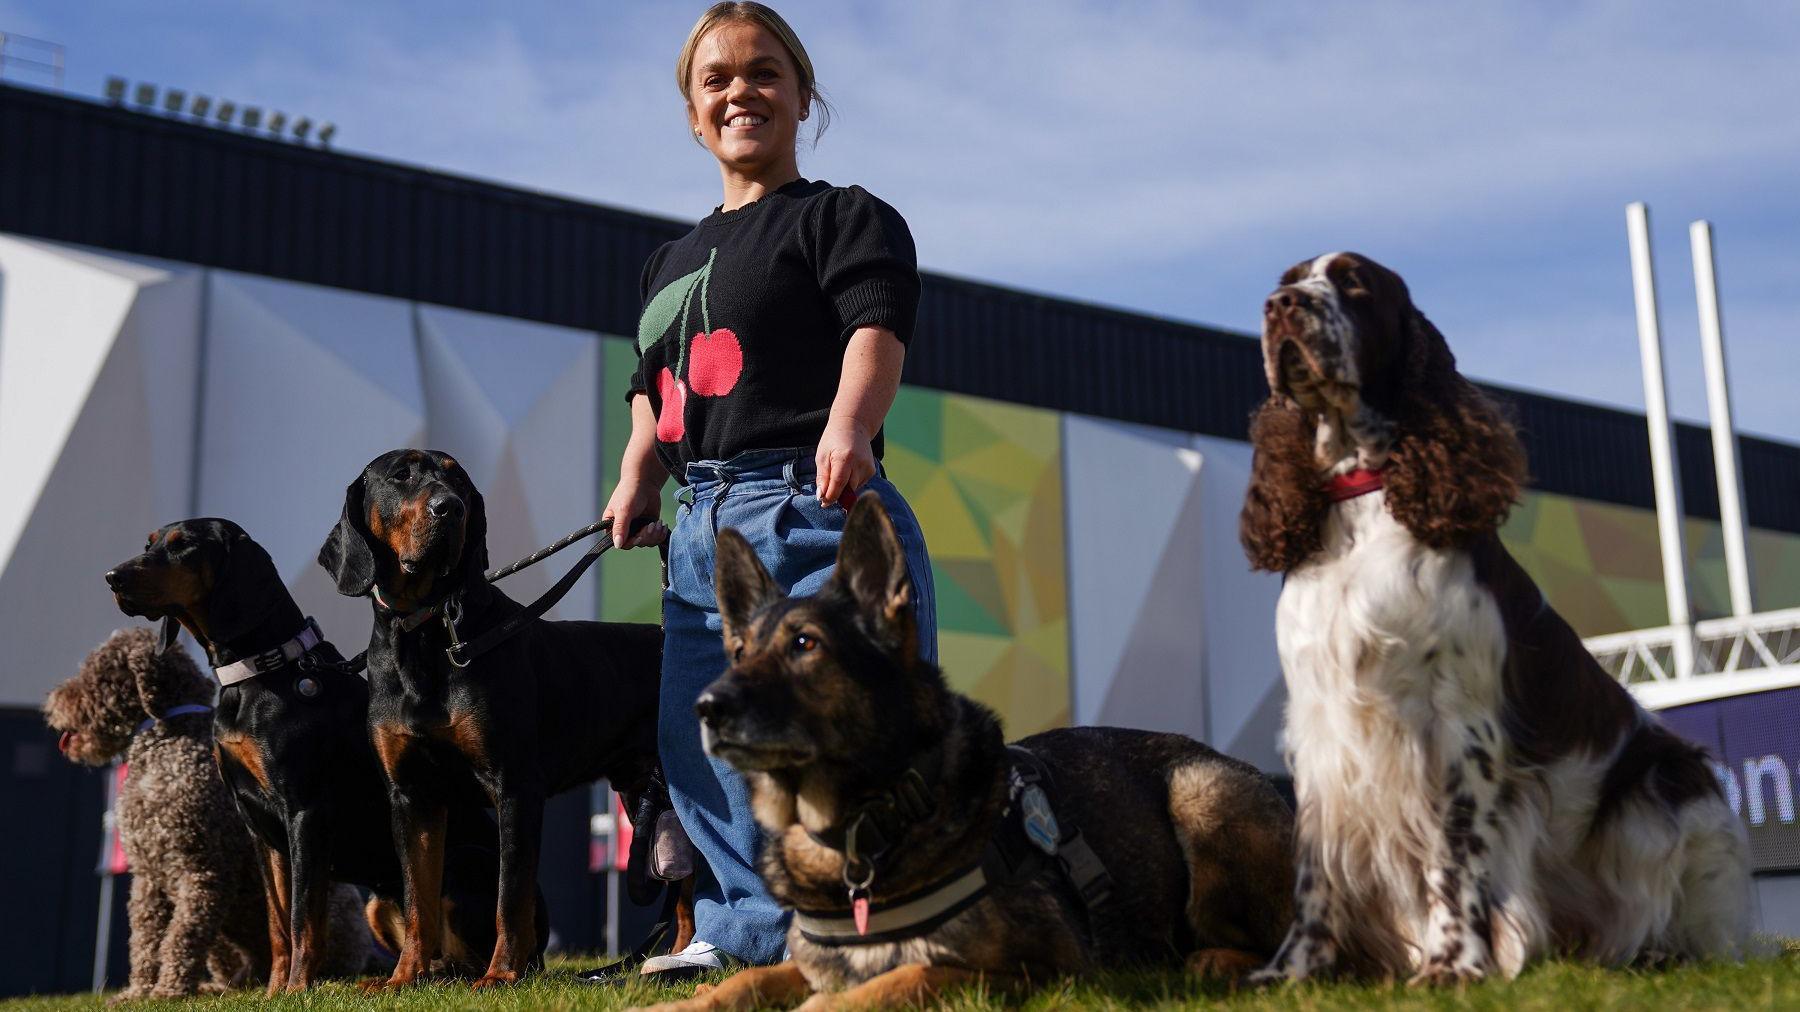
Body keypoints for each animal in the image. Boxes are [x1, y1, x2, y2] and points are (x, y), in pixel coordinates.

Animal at [1238, 248, 1742, 979]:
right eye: (1287, 281)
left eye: (1355, 282)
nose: (1282, 307)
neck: (1363, 498)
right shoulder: (1320, 729)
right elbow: (1315, 867)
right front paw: (1292, 970)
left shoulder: (1458, 726)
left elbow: (1455, 854)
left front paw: (1453, 964)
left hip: (1667, 787)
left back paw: (1656, 955)